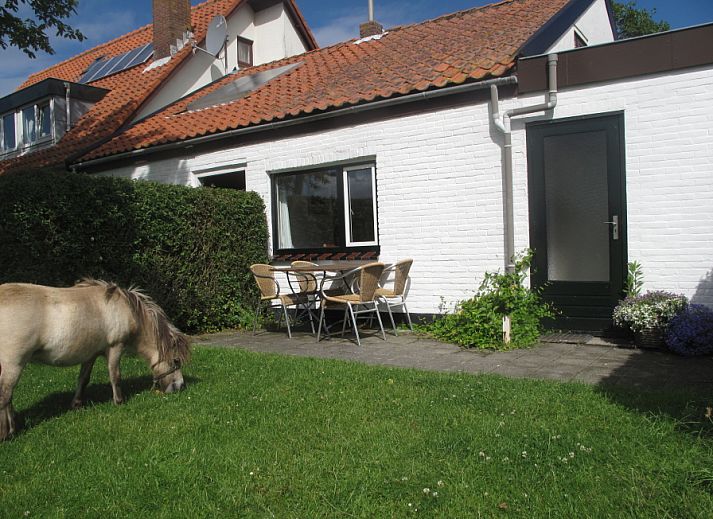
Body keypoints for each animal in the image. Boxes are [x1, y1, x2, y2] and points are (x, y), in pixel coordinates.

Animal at [0, 282, 189, 440]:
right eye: (176, 361)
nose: (180, 386)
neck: (128, 310)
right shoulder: (115, 347)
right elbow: (115, 376)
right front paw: (119, 401)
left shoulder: (90, 355)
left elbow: (83, 379)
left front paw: (77, 404)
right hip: (13, 364)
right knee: (5, 394)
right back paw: (6, 433)